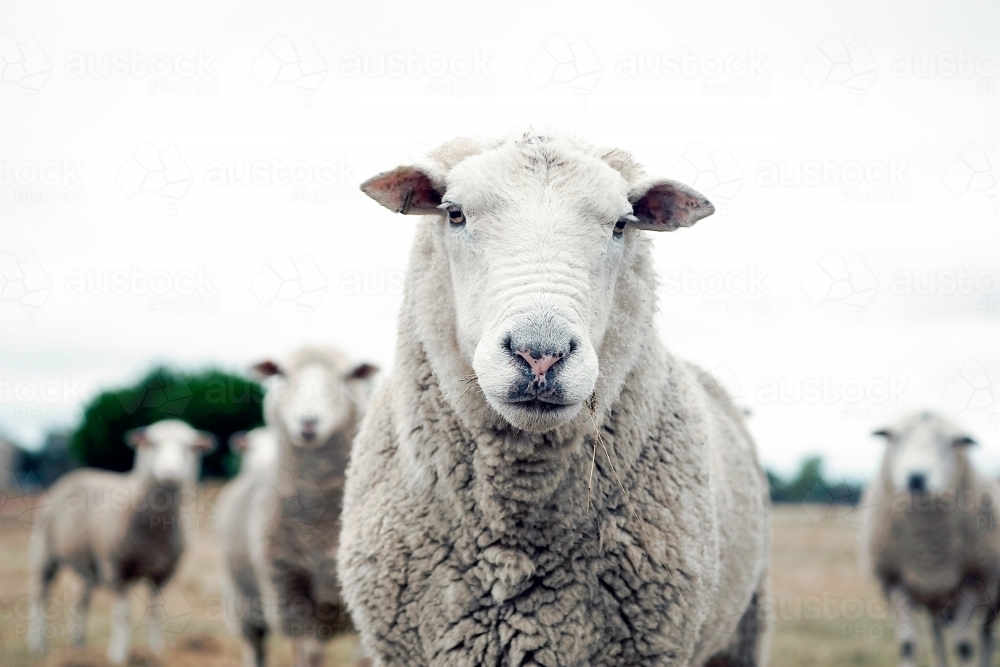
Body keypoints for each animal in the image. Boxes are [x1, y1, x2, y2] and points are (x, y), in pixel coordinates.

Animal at [28, 420, 215, 664]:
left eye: (190, 447)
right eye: (152, 444)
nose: (170, 473)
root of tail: (74, 475)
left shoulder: (162, 574)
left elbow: (155, 611)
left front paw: (155, 651)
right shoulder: (117, 569)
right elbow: (123, 613)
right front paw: (118, 654)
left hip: (88, 564)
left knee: (80, 599)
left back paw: (79, 646)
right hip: (44, 552)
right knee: (40, 595)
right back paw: (38, 644)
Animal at [217, 348, 376, 667]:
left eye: (347, 376)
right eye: (282, 374)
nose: (308, 422)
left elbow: (363, 658)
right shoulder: (289, 590)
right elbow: (310, 653)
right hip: (242, 605)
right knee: (256, 647)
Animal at [860, 412, 1000, 667]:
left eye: (951, 443)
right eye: (896, 439)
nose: (916, 477)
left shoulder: (972, 581)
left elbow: (964, 647)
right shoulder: (897, 583)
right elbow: (907, 644)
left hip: (992, 598)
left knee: (987, 636)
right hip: (936, 601)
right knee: (937, 638)